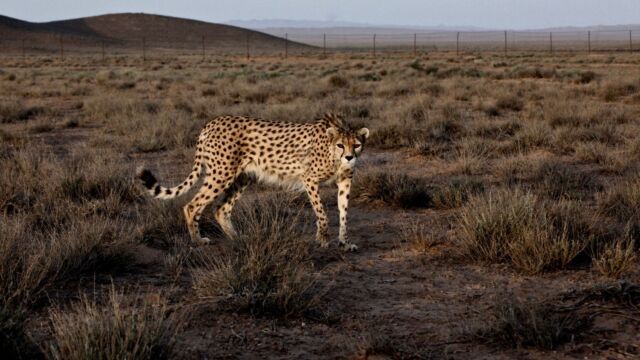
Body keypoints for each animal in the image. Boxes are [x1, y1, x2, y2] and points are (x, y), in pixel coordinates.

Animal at [139, 112, 370, 250]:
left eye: (357, 145)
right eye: (340, 145)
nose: (349, 157)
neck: (334, 156)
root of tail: (212, 122)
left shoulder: (345, 181)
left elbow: (344, 212)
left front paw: (345, 242)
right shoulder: (309, 179)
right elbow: (322, 213)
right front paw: (323, 238)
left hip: (242, 177)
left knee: (221, 209)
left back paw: (240, 238)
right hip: (221, 173)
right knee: (192, 205)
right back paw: (197, 240)